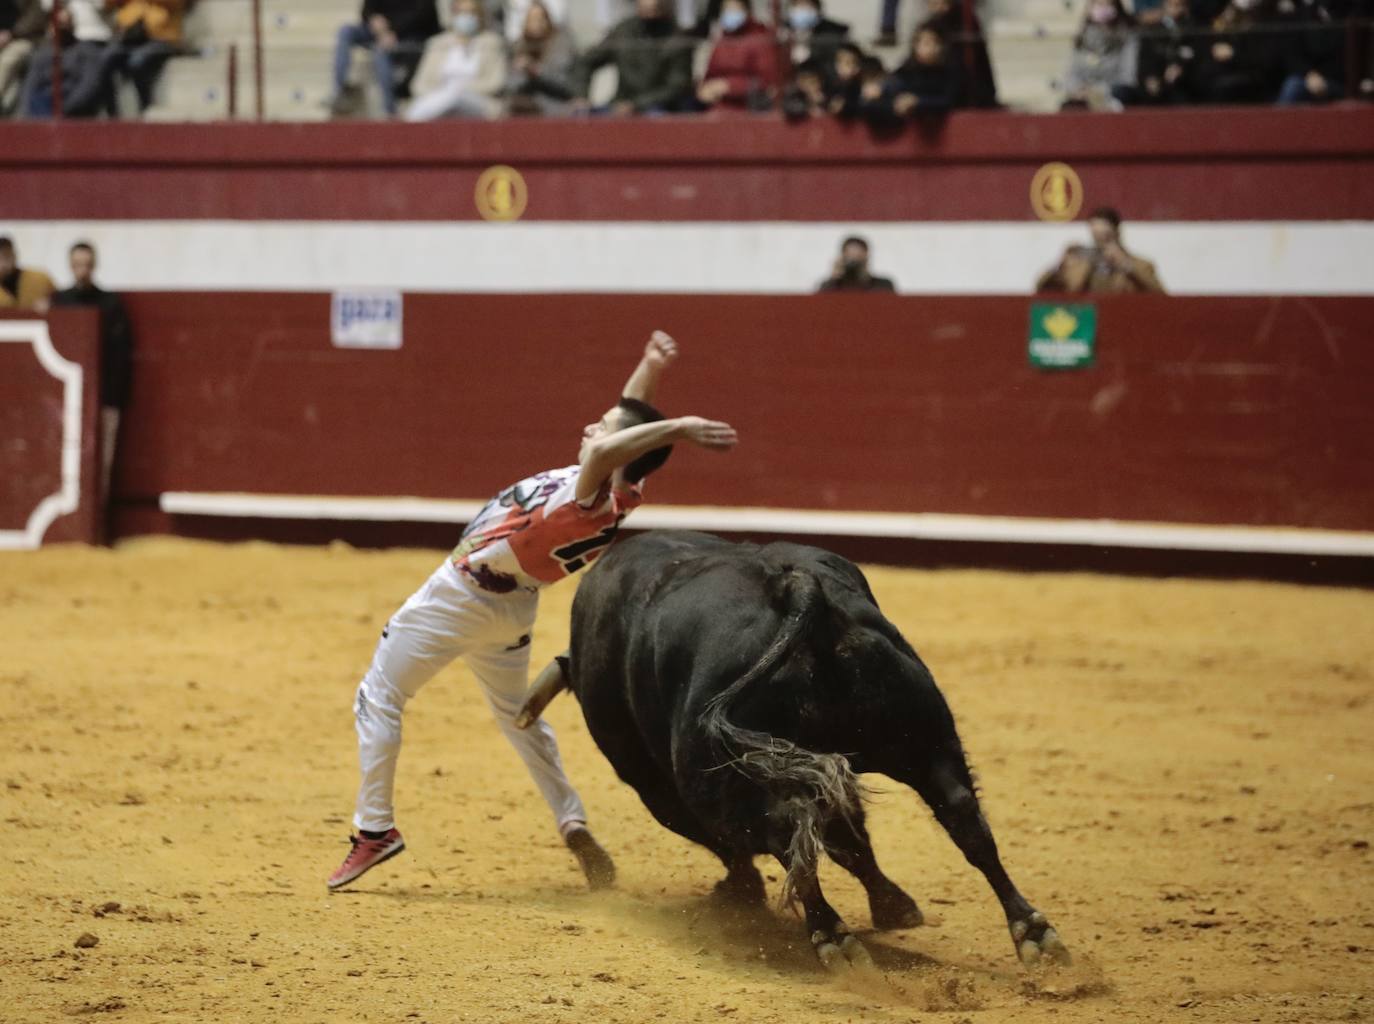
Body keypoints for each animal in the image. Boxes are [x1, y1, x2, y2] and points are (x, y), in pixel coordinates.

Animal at [519, 530, 1066, 973]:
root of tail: (794, 589)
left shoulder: (663, 787)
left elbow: (772, 844)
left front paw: (744, 891)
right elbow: (850, 838)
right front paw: (894, 905)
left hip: (717, 779)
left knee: (785, 840)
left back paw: (832, 939)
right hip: (928, 739)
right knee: (964, 819)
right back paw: (1035, 934)